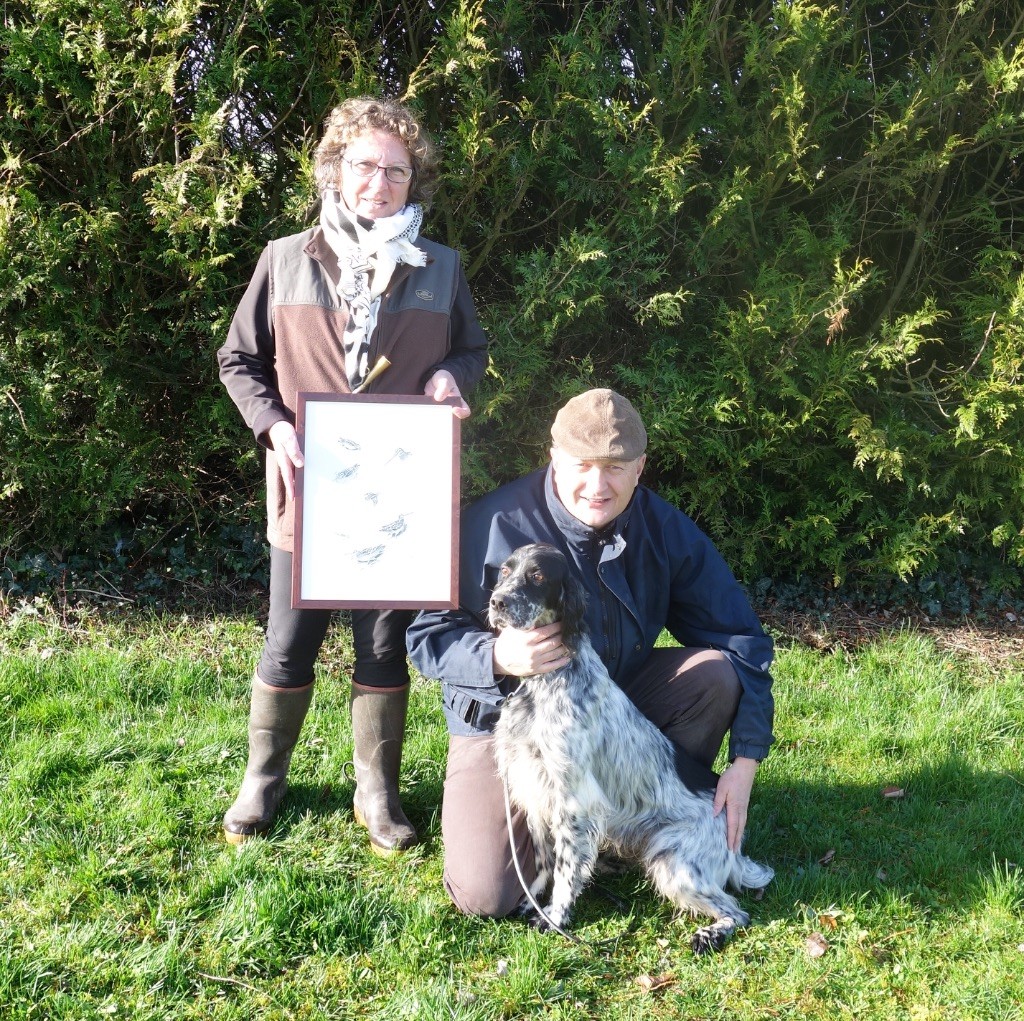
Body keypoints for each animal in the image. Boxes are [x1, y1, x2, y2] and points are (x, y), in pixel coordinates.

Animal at [491, 544, 770, 950]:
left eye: (538, 576)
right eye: (503, 572)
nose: (497, 602)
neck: (545, 683)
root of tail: (734, 845)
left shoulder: (573, 802)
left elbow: (565, 870)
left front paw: (555, 917)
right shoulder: (535, 790)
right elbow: (545, 862)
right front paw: (534, 903)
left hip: (675, 863)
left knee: (737, 909)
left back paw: (709, 934)